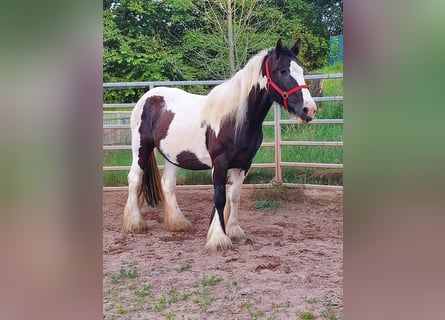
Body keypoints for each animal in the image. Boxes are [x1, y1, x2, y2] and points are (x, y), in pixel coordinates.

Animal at [121, 38, 316, 252]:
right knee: (134, 178)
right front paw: (218, 238)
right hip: (141, 148)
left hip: (173, 156)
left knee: (168, 184)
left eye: (301, 70)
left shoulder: (244, 164)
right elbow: (220, 198)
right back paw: (135, 223)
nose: (309, 109)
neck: (236, 119)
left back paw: (178, 223)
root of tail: (148, 97)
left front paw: (234, 231)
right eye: (283, 71)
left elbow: (234, 196)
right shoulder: (220, 163)